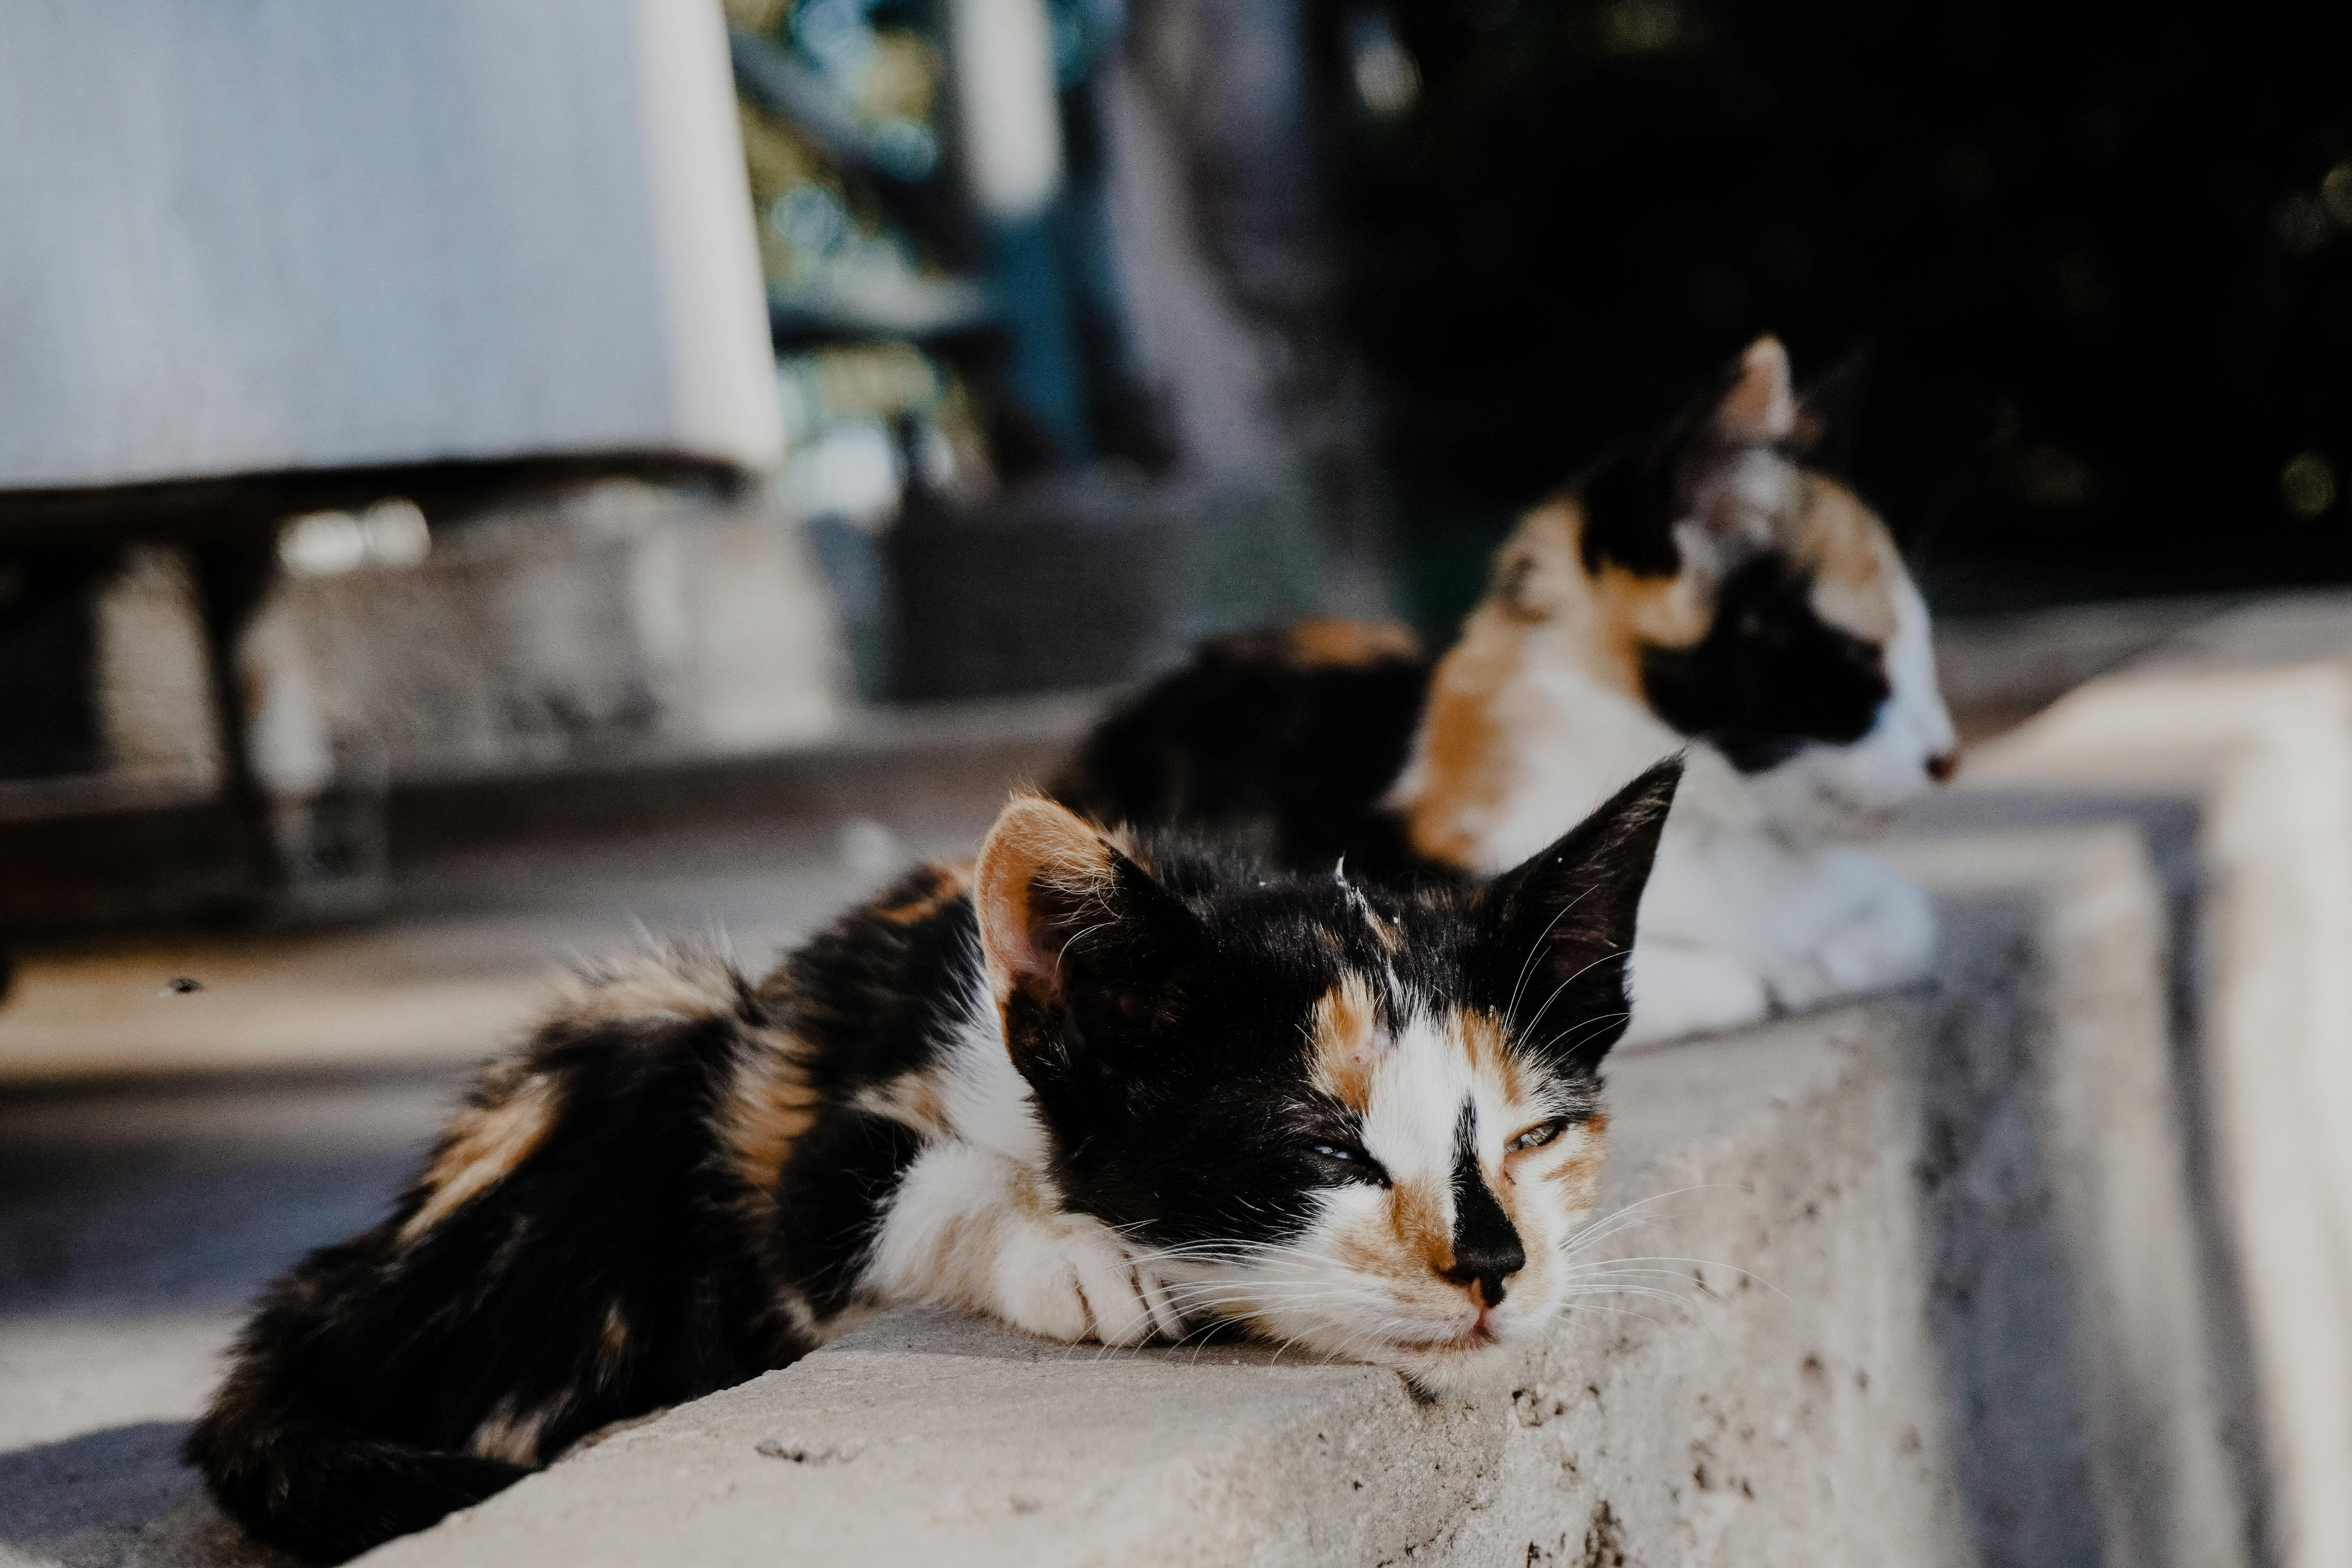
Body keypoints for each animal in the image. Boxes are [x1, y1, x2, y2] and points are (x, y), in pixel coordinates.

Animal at [193, 766, 1684, 1561]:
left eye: (1535, 1135)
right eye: (1321, 1147)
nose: (1494, 1264)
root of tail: (334, 1283)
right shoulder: (787, 1157)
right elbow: (867, 1187)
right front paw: (1079, 1258)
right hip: (648, 1023)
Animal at [1058, 334, 1957, 1044]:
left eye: (1924, 651)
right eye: (1857, 660)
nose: (1947, 758)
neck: (1726, 831)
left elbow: (1909, 916)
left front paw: (1826, 958)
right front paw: (1770, 976)